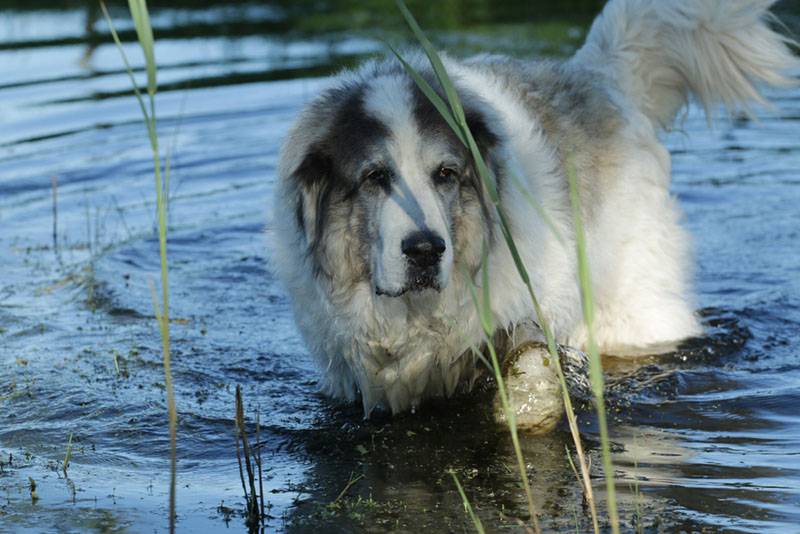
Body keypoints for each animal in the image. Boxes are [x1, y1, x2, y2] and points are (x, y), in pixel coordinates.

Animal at [270, 0, 800, 418]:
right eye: (376, 177)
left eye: (446, 174)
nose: (425, 250)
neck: (420, 316)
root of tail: (596, 79)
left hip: (634, 312)